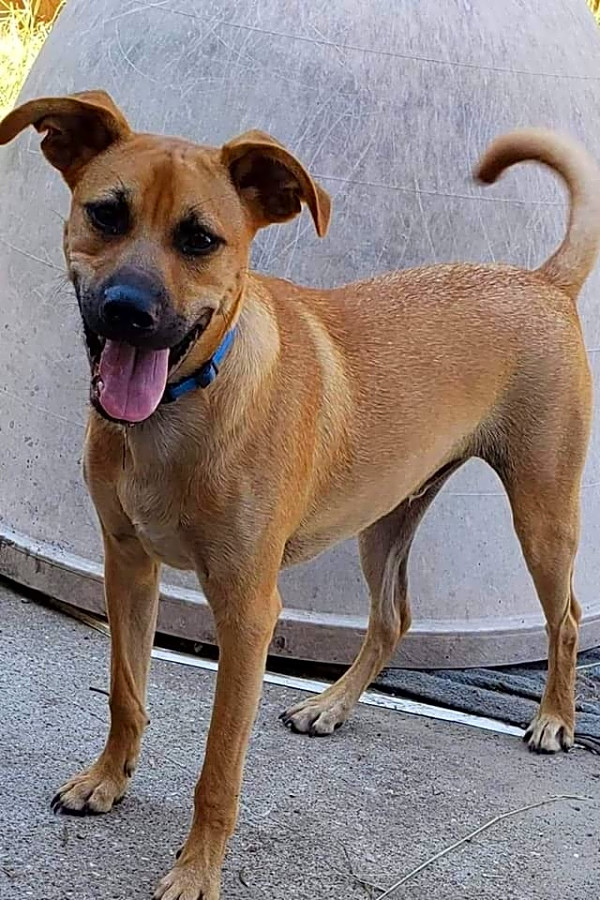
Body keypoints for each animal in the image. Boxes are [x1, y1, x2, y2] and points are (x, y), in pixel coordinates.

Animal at [2, 93, 596, 900]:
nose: (127, 311)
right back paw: (330, 706)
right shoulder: (127, 566)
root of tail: (543, 282)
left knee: (564, 618)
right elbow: (127, 693)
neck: (183, 410)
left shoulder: (249, 611)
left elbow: (219, 767)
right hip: (385, 519)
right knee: (392, 619)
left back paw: (555, 719)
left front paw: (196, 870)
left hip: (542, 512)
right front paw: (107, 780)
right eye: (106, 214)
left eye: (200, 240)